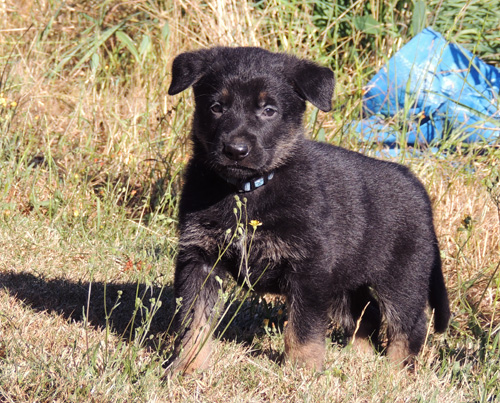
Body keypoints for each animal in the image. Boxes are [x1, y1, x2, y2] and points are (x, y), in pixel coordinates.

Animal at [167, 47, 450, 376]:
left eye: (269, 110)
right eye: (216, 107)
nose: (235, 150)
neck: (246, 191)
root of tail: (417, 187)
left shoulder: (308, 268)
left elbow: (302, 328)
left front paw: (301, 370)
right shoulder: (200, 258)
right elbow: (195, 321)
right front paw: (188, 365)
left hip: (402, 279)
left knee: (409, 325)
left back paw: (396, 371)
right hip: (344, 281)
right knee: (366, 315)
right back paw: (360, 360)